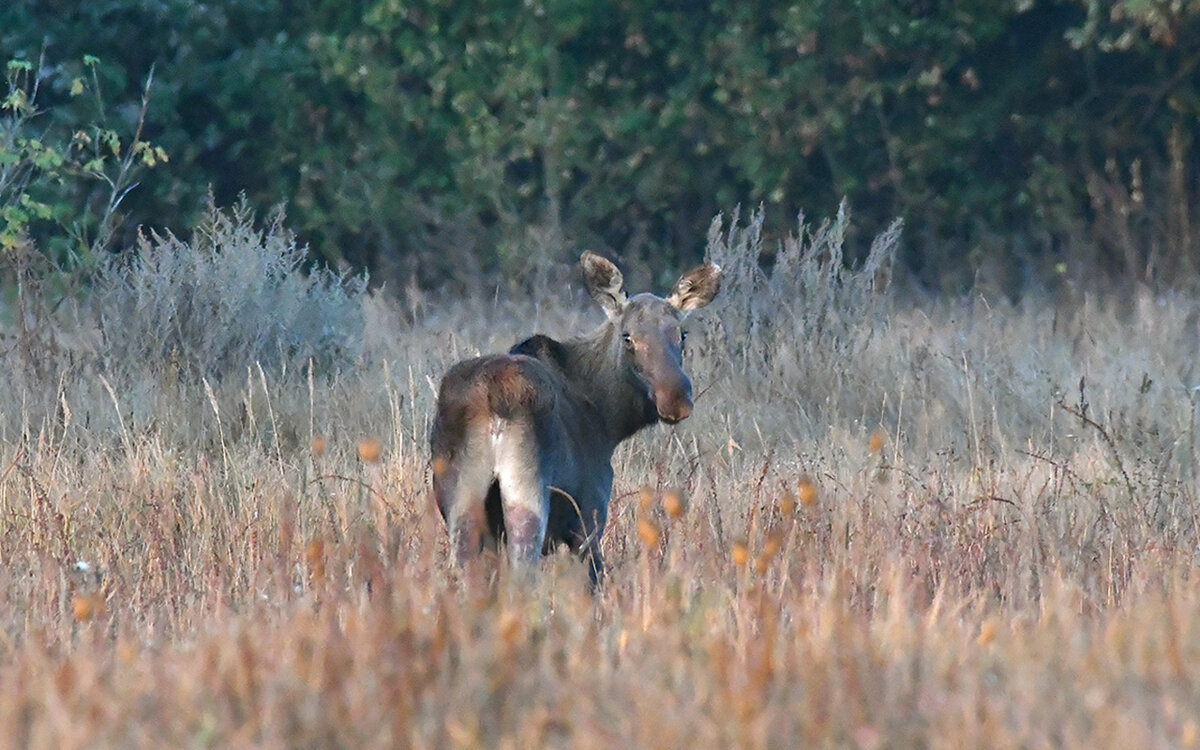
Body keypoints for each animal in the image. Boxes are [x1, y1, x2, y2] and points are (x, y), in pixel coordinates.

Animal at [432, 252, 720, 585]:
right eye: (628, 337)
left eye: (682, 334)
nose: (675, 397)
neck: (608, 421)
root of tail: (493, 397)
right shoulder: (589, 514)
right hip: (526, 492)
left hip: (462, 500)